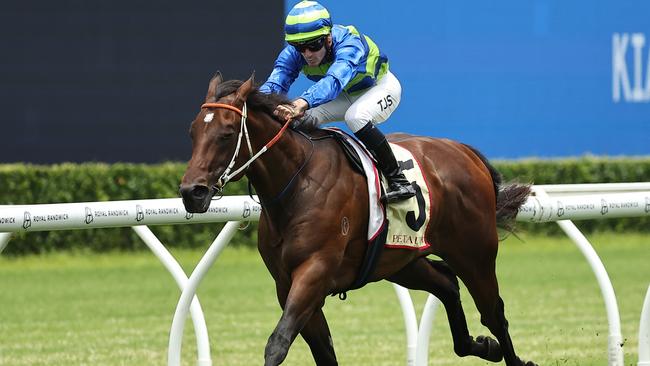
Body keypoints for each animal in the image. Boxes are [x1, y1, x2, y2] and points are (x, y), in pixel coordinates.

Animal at [180, 72, 536, 366]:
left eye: (226, 134)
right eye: (193, 131)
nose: (191, 192)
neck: (299, 183)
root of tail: (465, 152)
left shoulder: (315, 271)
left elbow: (277, 344)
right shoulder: (287, 284)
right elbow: (323, 351)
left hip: (474, 254)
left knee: (494, 313)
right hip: (400, 260)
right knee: (447, 283)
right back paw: (482, 346)